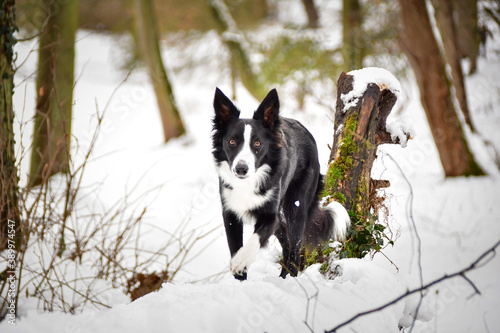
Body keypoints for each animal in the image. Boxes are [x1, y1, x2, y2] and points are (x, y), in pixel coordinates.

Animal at [213, 87, 350, 278]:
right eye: (232, 142)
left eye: (257, 143)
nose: (241, 169)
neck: (248, 182)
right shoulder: (230, 214)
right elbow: (236, 247)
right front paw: (239, 279)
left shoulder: (270, 215)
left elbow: (254, 240)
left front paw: (241, 261)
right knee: (286, 242)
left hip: (296, 206)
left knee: (295, 249)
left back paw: (289, 278)